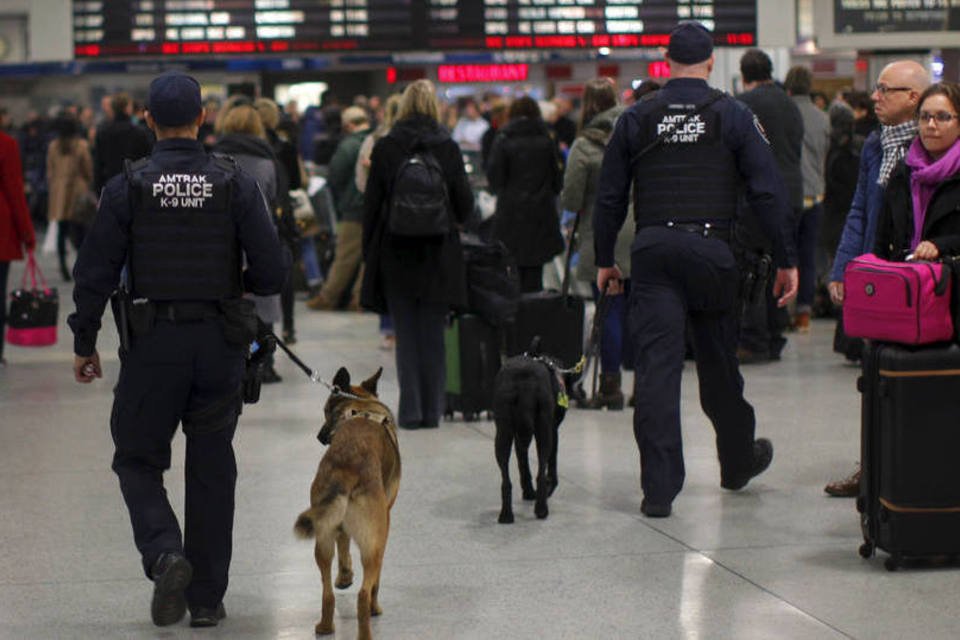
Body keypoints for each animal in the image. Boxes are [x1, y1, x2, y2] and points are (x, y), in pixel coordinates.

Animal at [292, 368, 398, 640]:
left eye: (326, 411)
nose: (320, 437)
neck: (361, 406)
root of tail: (348, 467)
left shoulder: (338, 529)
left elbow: (344, 546)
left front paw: (344, 576)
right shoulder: (385, 522)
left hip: (322, 539)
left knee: (327, 592)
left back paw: (325, 626)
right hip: (374, 545)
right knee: (364, 592)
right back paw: (369, 618)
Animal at [492, 338, 568, 524]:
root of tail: (523, 377)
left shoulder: (519, 437)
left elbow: (523, 463)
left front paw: (527, 492)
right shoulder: (554, 431)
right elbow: (552, 467)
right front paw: (548, 486)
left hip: (503, 433)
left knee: (506, 480)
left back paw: (506, 515)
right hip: (545, 431)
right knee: (541, 471)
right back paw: (542, 508)